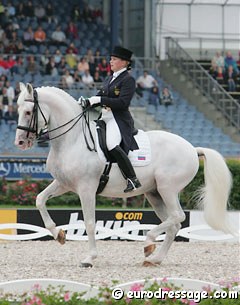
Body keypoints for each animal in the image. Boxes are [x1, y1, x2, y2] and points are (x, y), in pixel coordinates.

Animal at [15, 83, 232, 266]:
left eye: (28, 112)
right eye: (17, 111)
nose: (20, 143)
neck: (73, 139)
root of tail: (193, 148)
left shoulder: (86, 188)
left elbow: (90, 223)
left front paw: (89, 258)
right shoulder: (63, 183)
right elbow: (40, 200)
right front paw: (58, 234)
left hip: (167, 188)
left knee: (177, 216)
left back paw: (148, 242)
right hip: (155, 193)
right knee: (173, 224)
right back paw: (154, 258)